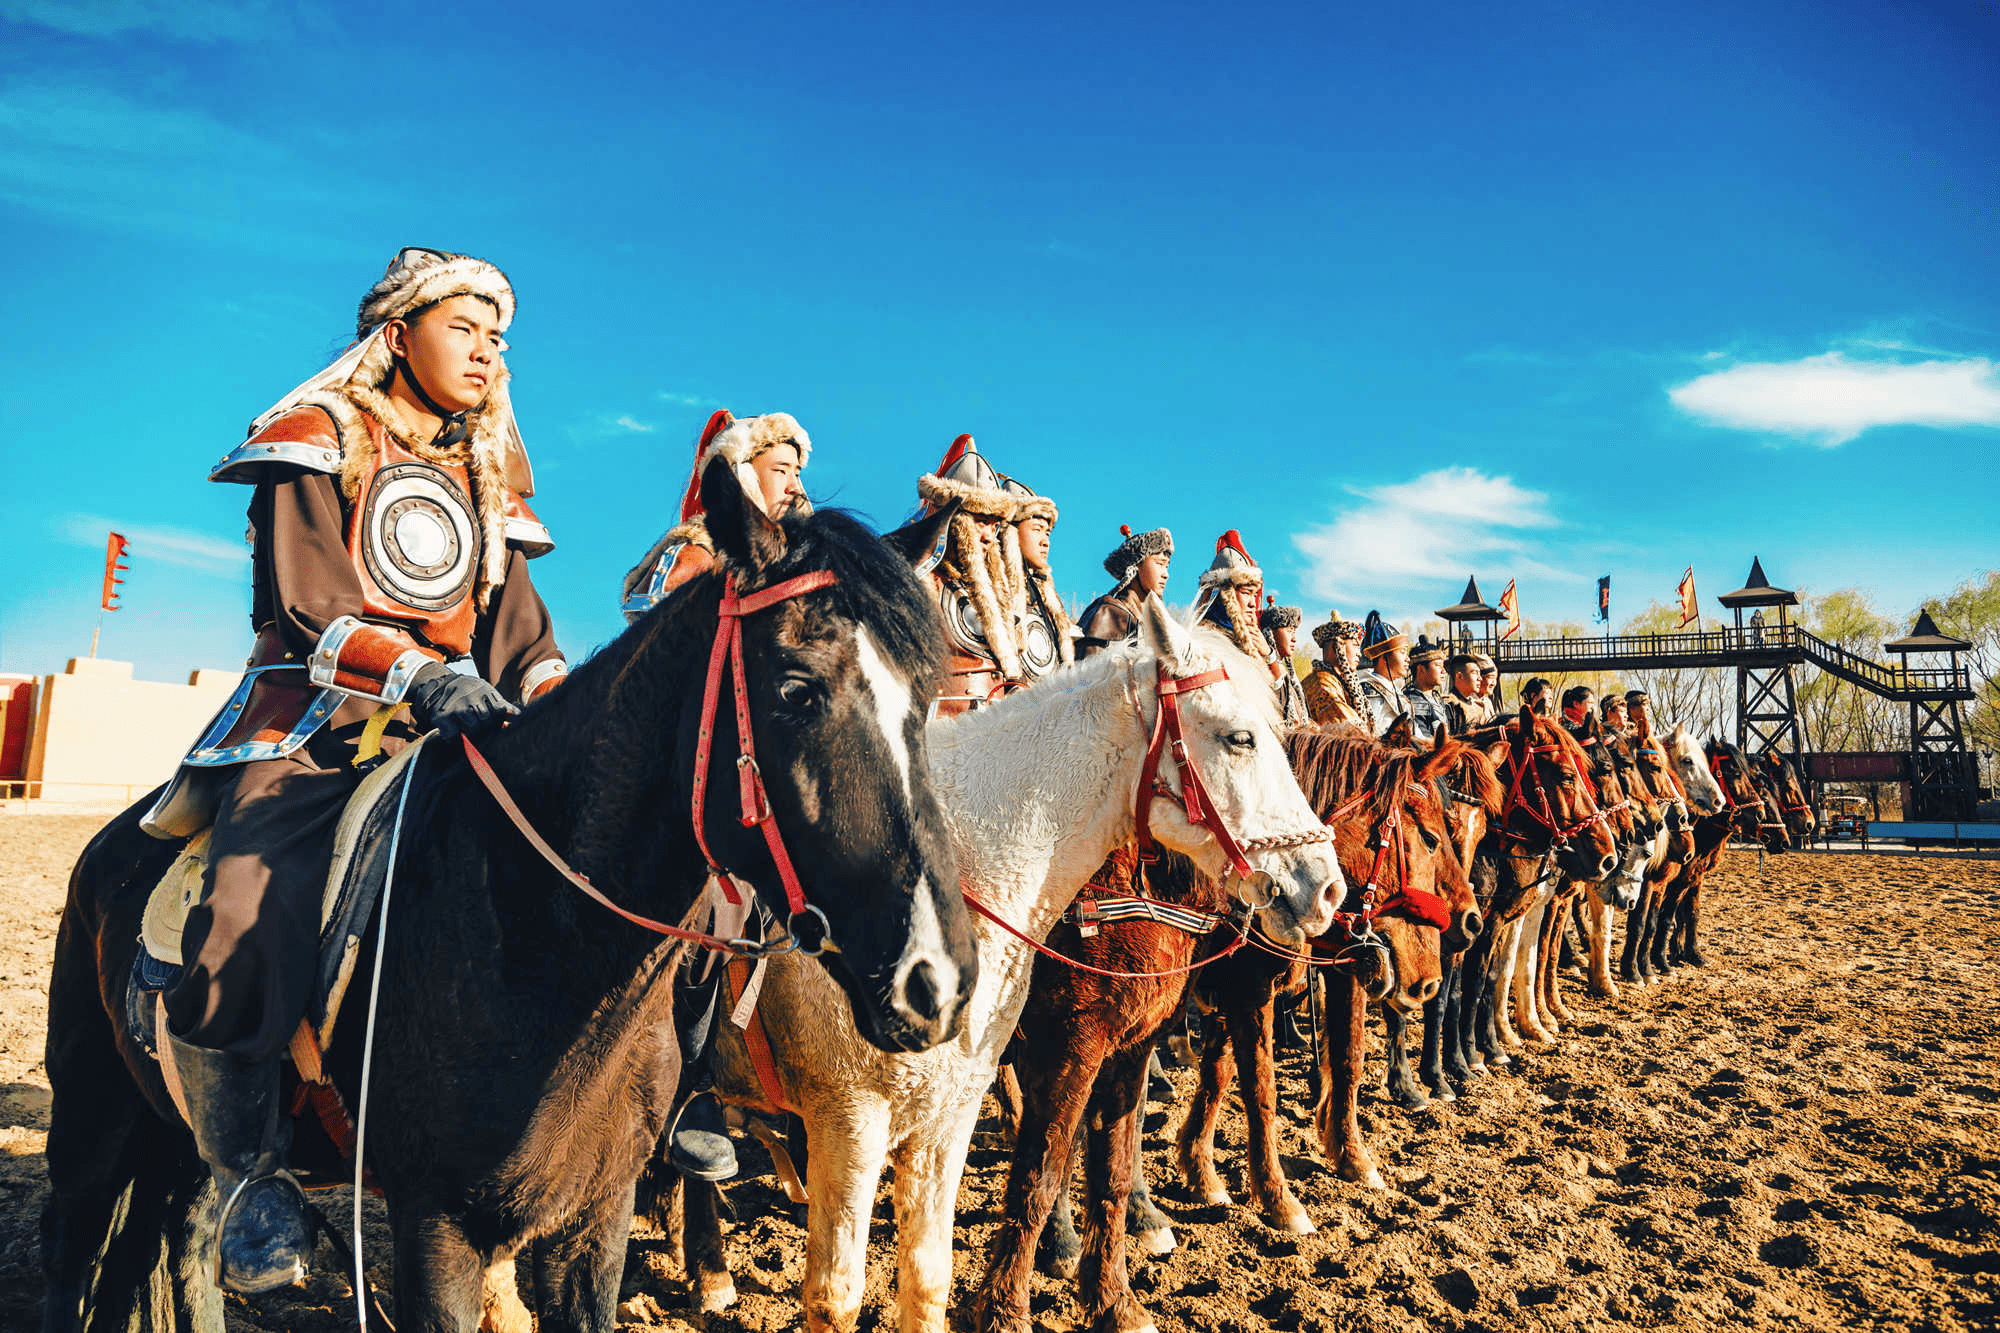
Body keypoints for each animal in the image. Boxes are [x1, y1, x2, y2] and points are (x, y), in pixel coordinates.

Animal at [43, 454, 980, 1328]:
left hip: (169, 1143)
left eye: (928, 699)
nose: (937, 978)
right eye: (795, 687)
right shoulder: (435, 1229)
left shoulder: (593, 1217)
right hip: (91, 1128)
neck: (531, 941)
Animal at [676, 600, 1344, 1328]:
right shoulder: (856, 1115)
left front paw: (1113, 1296)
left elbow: (1068, 1190)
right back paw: (710, 1272)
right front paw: (1013, 1301)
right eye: (1240, 738)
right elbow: (1031, 1177)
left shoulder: (986, 1093)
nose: (1326, 886)